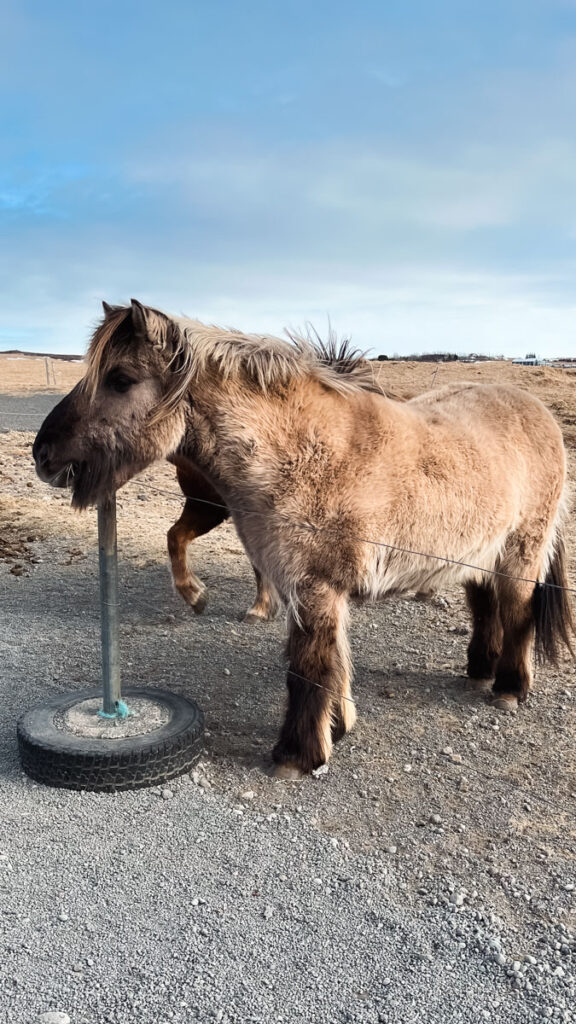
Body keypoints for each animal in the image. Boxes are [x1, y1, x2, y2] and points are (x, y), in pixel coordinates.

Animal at [33, 299, 574, 778]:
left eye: (120, 379)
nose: (43, 453)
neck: (305, 453)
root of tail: (539, 413)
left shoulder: (314, 587)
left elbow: (308, 666)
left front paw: (297, 755)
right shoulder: (305, 589)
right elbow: (334, 662)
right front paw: (337, 726)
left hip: (520, 552)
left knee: (517, 611)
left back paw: (509, 687)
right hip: (476, 554)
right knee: (485, 607)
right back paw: (479, 668)